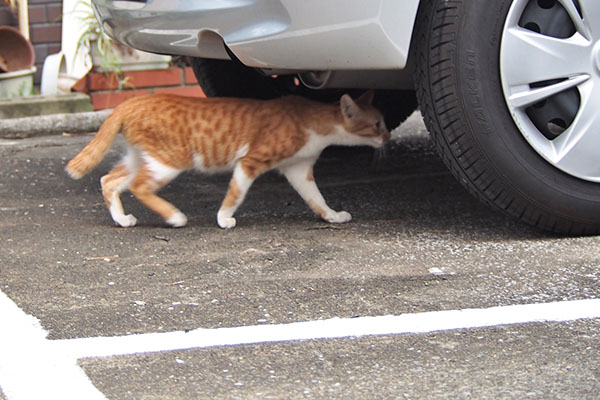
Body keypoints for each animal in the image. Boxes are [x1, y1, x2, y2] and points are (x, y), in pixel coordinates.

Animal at [65, 91, 392, 228]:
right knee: (140, 187)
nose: (388, 136)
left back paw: (122, 219)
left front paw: (333, 216)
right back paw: (174, 217)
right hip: (167, 162)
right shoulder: (250, 162)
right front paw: (224, 219)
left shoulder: (299, 169)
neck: (314, 124)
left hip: (140, 157)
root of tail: (132, 101)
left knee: (109, 180)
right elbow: (235, 194)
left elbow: (317, 199)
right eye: (377, 124)